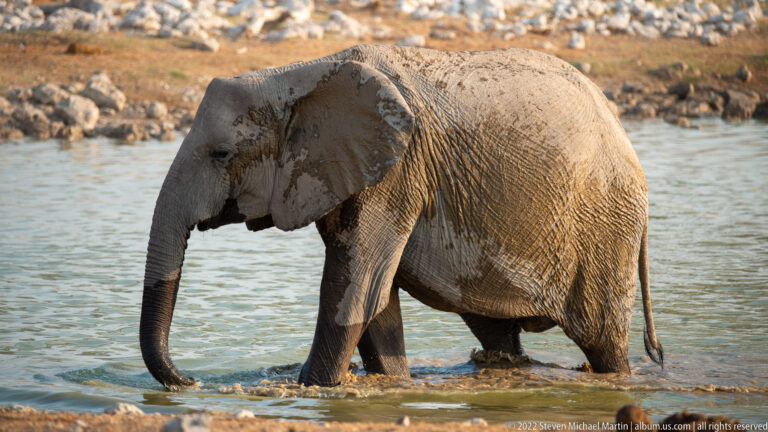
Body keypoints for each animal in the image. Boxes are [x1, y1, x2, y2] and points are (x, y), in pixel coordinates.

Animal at [140, 44, 664, 390]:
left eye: (221, 154)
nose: (189, 382)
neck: (303, 74)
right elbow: (375, 300)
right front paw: (391, 385)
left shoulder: (396, 172)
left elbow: (354, 292)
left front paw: (309, 389)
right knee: (495, 329)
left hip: (606, 226)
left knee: (602, 339)